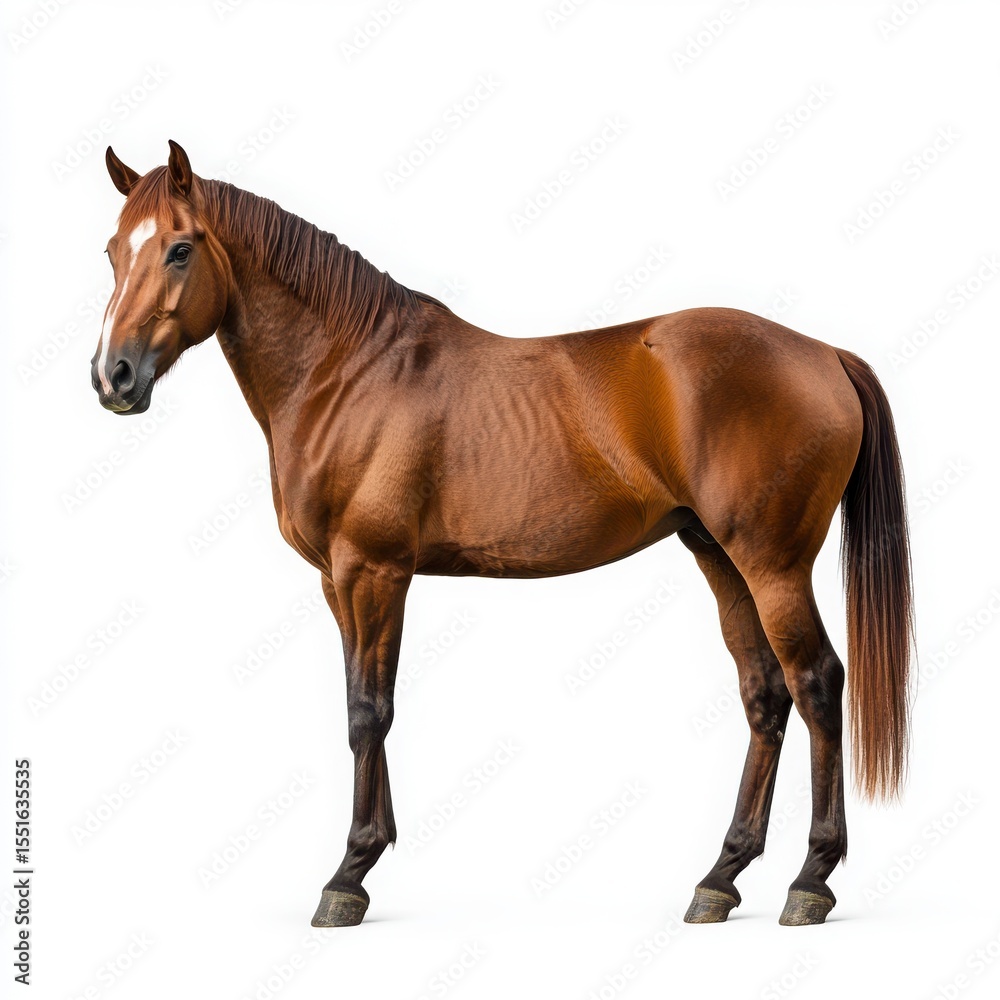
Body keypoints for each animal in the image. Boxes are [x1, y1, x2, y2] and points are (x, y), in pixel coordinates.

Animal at [92, 141, 913, 928]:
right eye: (111, 251)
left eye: (180, 249)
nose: (113, 377)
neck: (346, 372)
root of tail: (824, 353)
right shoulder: (338, 580)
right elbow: (362, 704)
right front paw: (372, 853)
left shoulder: (373, 570)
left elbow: (369, 711)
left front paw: (349, 874)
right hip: (719, 556)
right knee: (765, 695)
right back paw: (720, 878)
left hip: (773, 565)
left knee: (817, 683)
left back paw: (811, 880)